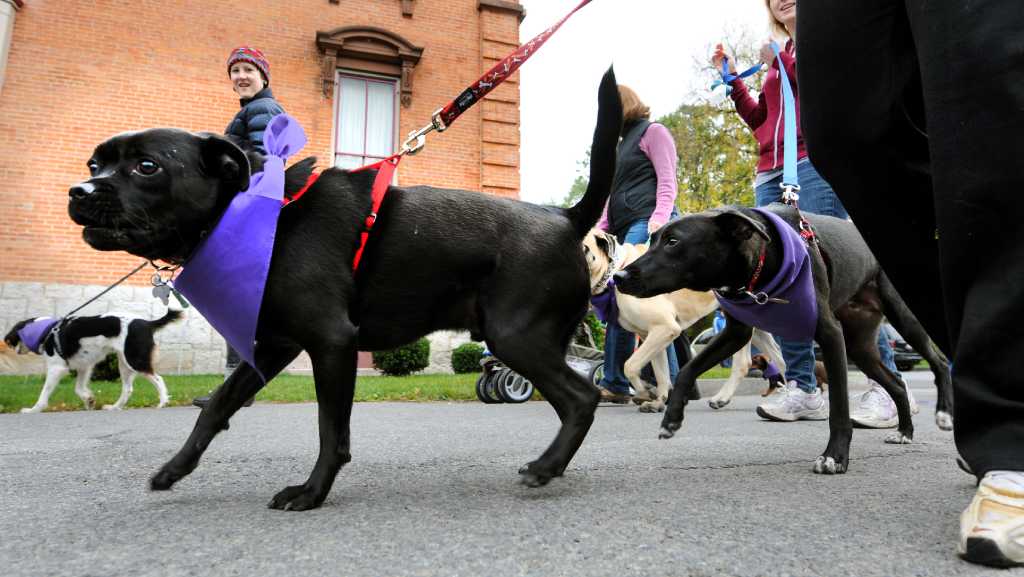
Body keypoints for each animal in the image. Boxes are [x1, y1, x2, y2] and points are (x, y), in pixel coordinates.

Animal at [4, 313, 181, 414]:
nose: (16, 351)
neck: (47, 331)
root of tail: (148, 323)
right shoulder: (85, 366)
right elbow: (78, 388)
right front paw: (89, 400)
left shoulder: (57, 368)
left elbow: (43, 394)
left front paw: (34, 409)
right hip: (124, 364)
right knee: (128, 389)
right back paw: (114, 407)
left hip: (134, 360)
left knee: (158, 379)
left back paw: (163, 401)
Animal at [66, 71, 622, 510]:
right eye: (95, 165)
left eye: (147, 166)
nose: (78, 191)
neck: (267, 215)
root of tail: (566, 218)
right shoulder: (272, 346)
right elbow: (219, 406)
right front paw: (175, 468)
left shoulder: (331, 344)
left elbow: (329, 429)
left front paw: (311, 493)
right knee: (573, 401)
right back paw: (553, 465)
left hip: (515, 337)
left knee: (582, 397)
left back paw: (546, 466)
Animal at [610, 204, 954, 475]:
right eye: (653, 240)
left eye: (673, 241)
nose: (619, 277)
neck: (764, 260)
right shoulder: (736, 333)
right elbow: (686, 370)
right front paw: (671, 417)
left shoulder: (830, 336)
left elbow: (839, 408)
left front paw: (834, 457)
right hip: (859, 347)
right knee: (896, 383)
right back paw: (905, 431)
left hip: (903, 318)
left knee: (937, 360)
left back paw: (944, 413)